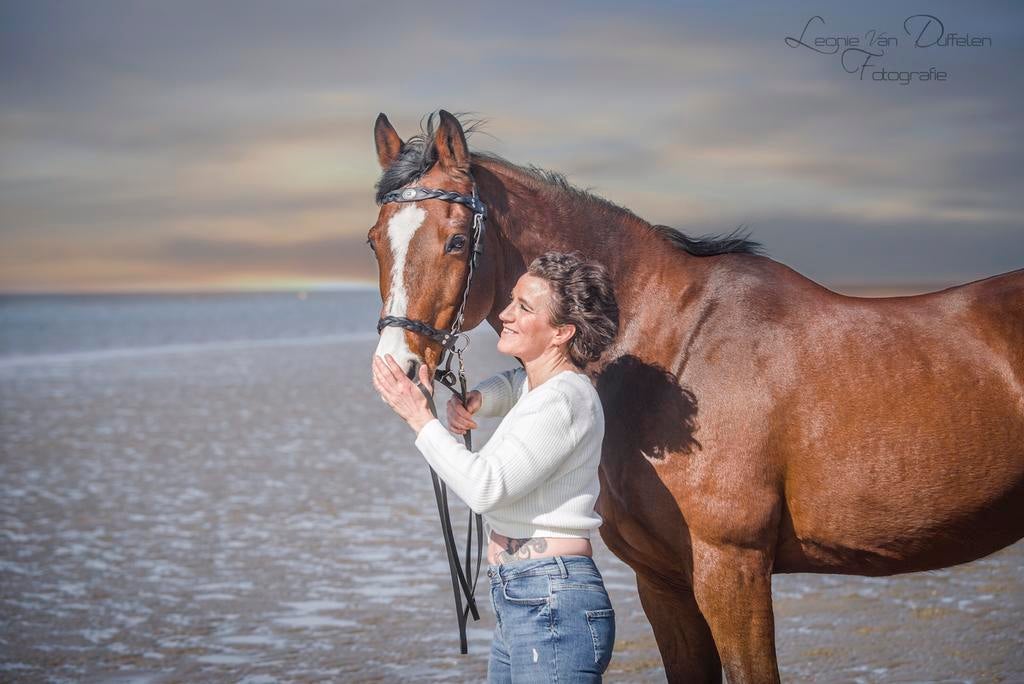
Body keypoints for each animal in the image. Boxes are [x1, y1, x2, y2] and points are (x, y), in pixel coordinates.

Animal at [367, 110, 1024, 683]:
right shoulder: (663, 580)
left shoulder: (731, 568)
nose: (395, 368)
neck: (674, 345)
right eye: (375, 241)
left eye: (456, 242)